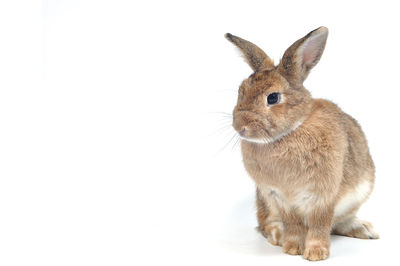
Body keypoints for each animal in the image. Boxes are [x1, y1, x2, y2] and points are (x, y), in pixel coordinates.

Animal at [225, 27, 378, 262]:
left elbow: (319, 225)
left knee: (337, 223)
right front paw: (292, 248)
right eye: (241, 91)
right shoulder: (278, 196)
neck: (290, 132)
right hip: (265, 202)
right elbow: (294, 224)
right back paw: (278, 234)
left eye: (273, 98)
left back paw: (364, 229)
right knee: (264, 224)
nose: (239, 126)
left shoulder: (323, 195)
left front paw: (316, 254)